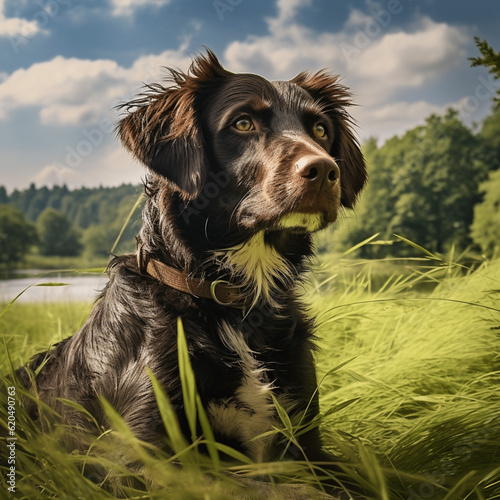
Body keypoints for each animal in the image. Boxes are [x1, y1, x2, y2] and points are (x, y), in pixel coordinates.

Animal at [16, 49, 368, 496]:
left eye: (321, 129)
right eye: (242, 123)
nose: (324, 171)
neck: (233, 302)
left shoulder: (308, 438)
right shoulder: (139, 458)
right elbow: (255, 488)